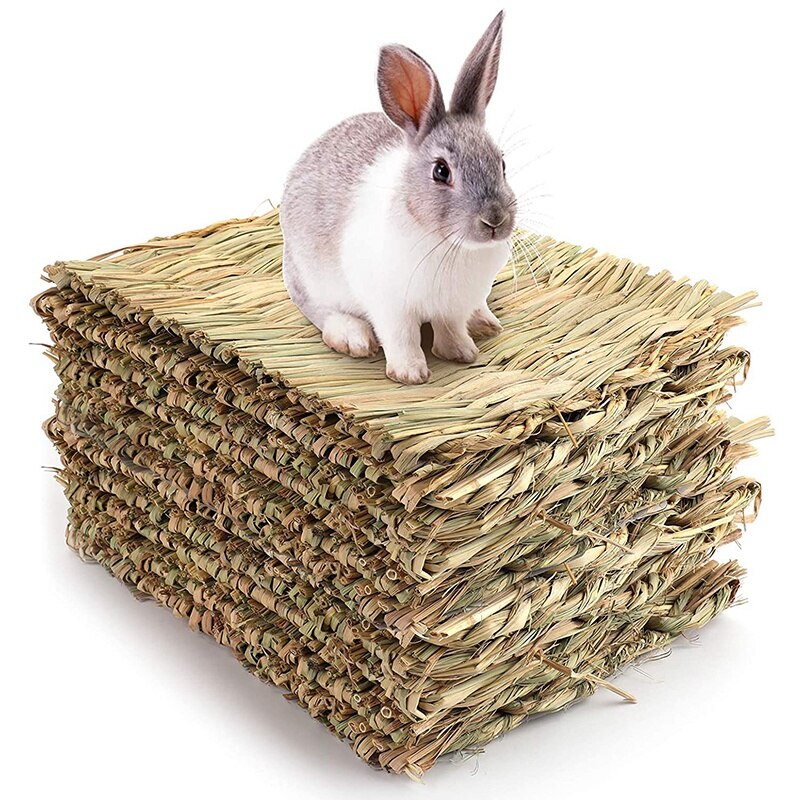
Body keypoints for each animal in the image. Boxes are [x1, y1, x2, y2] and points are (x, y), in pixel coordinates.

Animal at [280, 11, 515, 384]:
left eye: (502, 163)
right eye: (441, 171)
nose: (495, 220)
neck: (449, 244)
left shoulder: (453, 307)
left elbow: (450, 328)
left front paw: (462, 353)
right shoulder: (390, 307)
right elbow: (401, 337)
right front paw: (410, 374)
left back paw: (484, 322)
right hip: (308, 278)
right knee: (320, 311)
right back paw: (354, 338)